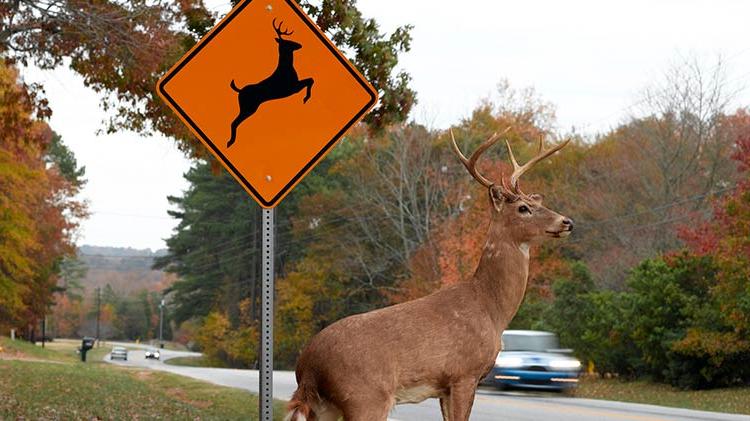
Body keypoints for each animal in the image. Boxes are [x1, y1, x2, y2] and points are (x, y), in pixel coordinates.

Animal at [226, 18, 314, 149]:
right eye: (288, 42)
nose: (300, 45)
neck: (287, 68)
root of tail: (239, 90)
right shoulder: (293, 88)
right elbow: (310, 80)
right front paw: (306, 98)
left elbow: (310, 80)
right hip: (248, 107)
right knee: (234, 122)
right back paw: (230, 142)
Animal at [284, 128, 572, 420]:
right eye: (523, 208)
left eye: (535, 202)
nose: (566, 222)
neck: (491, 308)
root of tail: (307, 366)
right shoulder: (464, 373)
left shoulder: (444, 387)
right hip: (365, 397)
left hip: (325, 407)